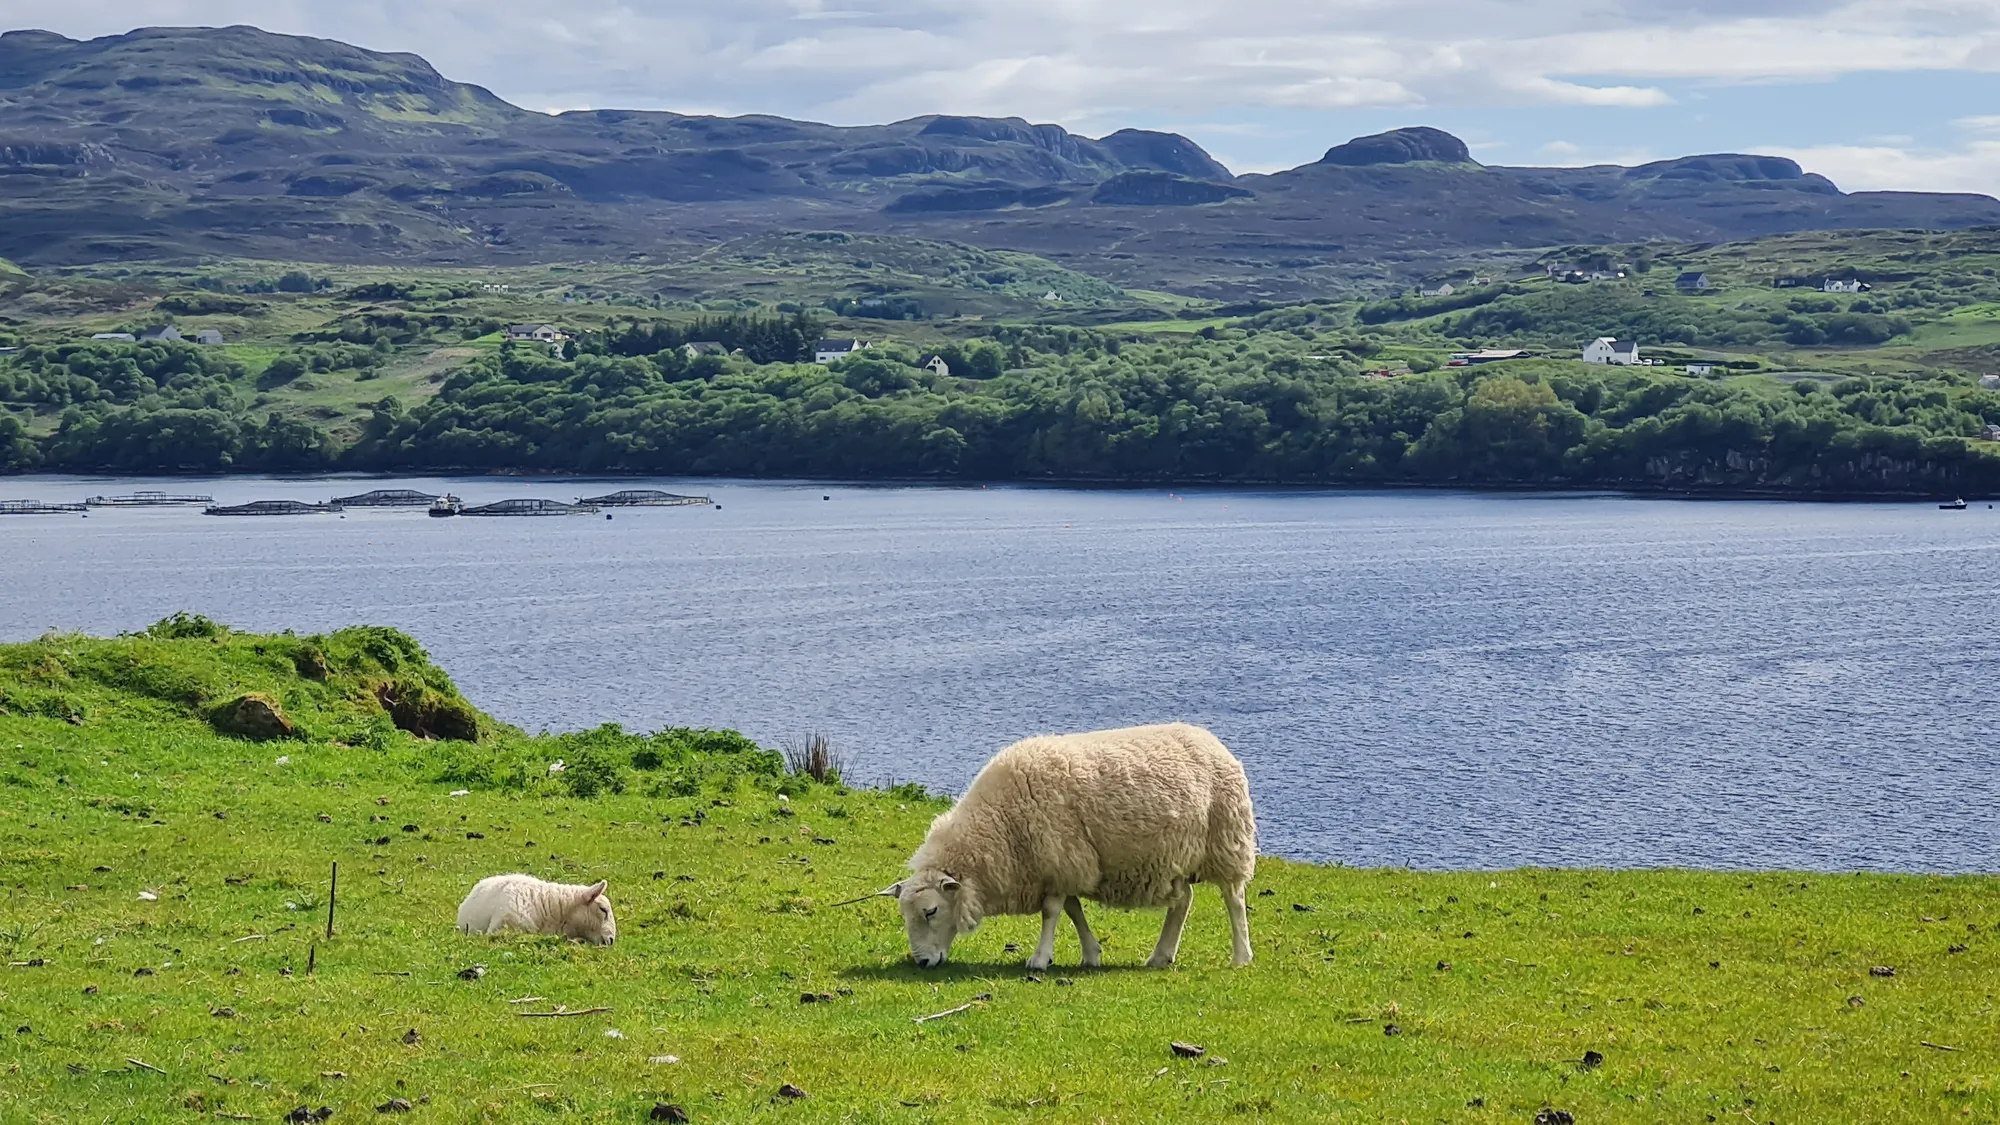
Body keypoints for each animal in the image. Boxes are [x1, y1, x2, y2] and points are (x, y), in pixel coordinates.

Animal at [879, 722, 1255, 970]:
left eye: (931, 911)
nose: (922, 962)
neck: (998, 825)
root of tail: (1211, 739)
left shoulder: (1060, 857)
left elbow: (1052, 912)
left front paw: (1039, 959)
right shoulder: (1063, 865)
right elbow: (1073, 910)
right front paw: (1091, 954)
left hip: (1227, 840)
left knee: (1234, 899)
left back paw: (1240, 957)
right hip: (1176, 858)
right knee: (1183, 900)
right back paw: (1161, 955)